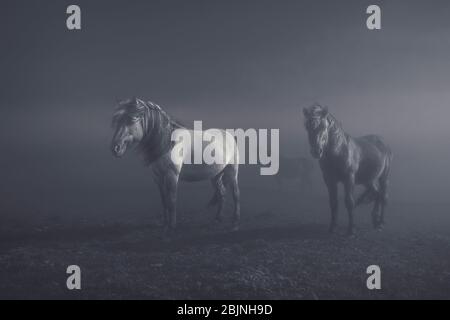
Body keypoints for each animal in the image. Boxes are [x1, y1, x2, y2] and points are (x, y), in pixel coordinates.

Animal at [111, 97, 241, 235]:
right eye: (116, 121)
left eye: (132, 119)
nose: (115, 148)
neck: (168, 143)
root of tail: (229, 136)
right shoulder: (157, 177)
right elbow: (164, 201)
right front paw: (164, 224)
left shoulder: (172, 175)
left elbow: (172, 200)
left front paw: (172, 226)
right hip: (215, 175)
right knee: (222, 193)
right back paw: (217, 219)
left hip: (232, 172)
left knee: (236, 193)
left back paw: (235, 220)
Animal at [302, 105, 394, 235]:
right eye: (307, 127)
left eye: (323, 126)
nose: (316, 151)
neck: (339, 151)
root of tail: (382, 141)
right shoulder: (329, 180)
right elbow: (333, 203)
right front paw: (332, 227)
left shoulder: (349, 179)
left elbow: (349, 202)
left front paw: (351, 230)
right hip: (368, 180)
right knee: (377, 193)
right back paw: (375, 220)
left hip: (383, 177)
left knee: (384, 196)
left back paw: (381, 223)